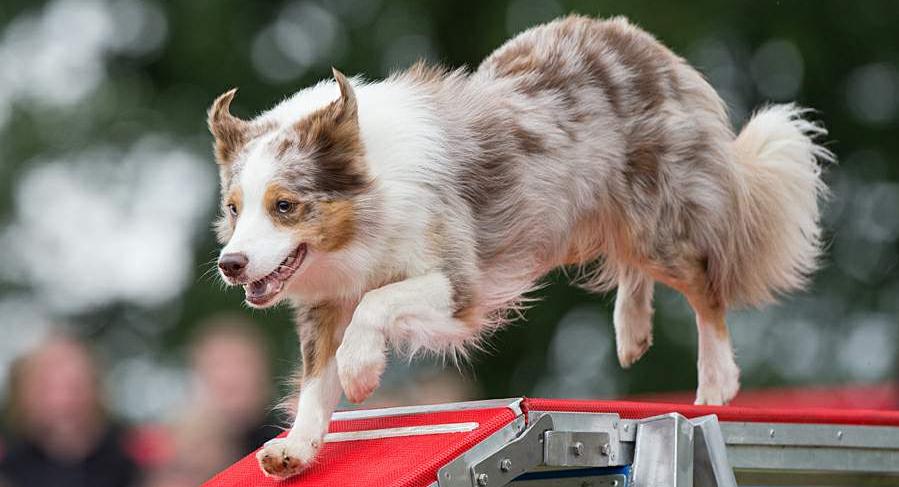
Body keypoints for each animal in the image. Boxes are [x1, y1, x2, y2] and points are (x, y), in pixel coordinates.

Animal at [207, 16, 832, 480]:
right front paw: (297, 448)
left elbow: (376, 304)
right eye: (235, 208)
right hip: (579, 216)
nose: (230, 265)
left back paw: (716, 379)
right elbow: (316, 381)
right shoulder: (323, 302)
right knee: (630, 263)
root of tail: (640, 41)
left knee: (703, 282)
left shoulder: (459, 284)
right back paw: (632, 331)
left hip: (656, 218)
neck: (367, 208)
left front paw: (361, 370)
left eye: (285, 205)